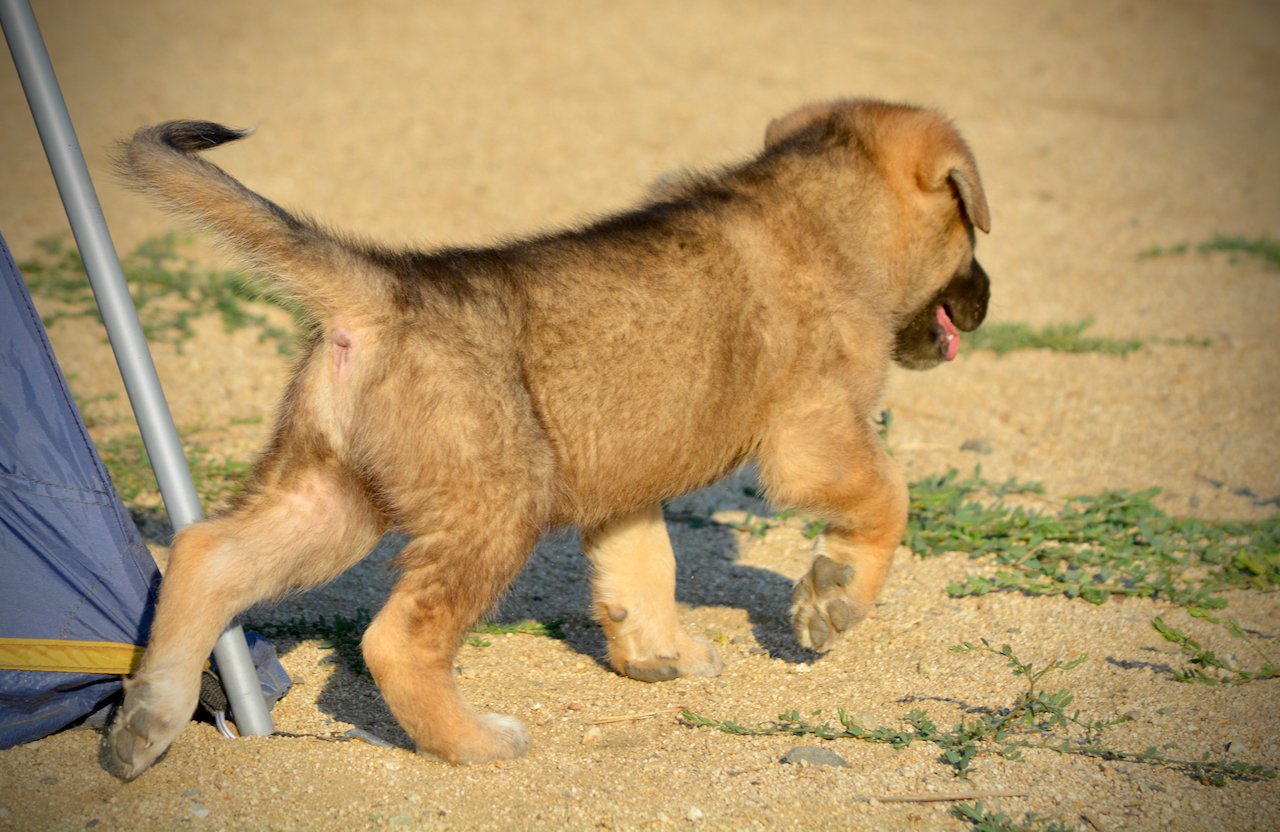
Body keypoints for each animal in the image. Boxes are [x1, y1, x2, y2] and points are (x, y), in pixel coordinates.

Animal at [107, 98, 988, 778]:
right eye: (971, 233)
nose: (984, 302)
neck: (822, 213)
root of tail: (384, 290)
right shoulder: (816, 436)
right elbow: (889, 496)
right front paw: (833, 597)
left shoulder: (625, 490)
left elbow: (645, 572)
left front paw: (660, 656)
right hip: (492, 508)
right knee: (394, 642)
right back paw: (474, 743)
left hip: (333, 502)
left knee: (206, 555)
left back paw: (146, 719)